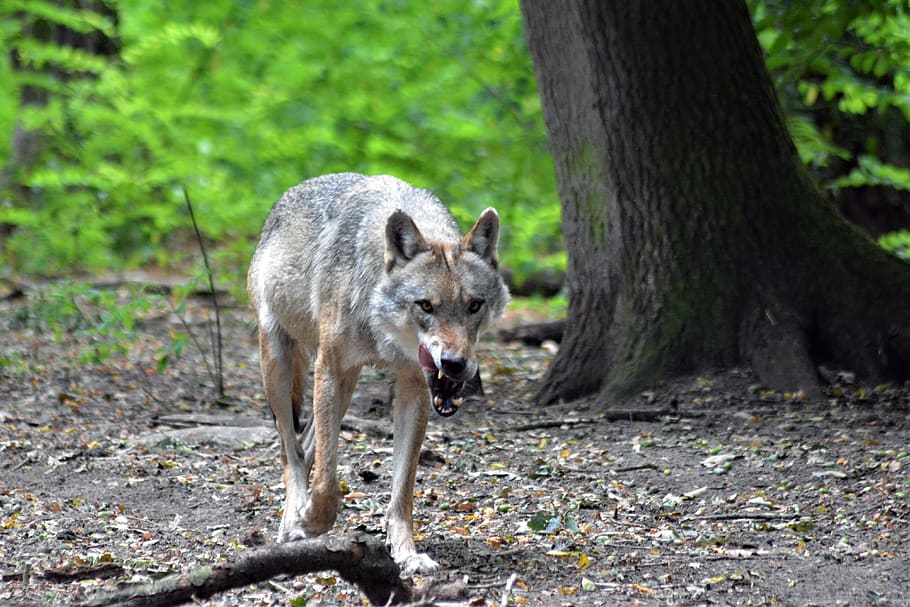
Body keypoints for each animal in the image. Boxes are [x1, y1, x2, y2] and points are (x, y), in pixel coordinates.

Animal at [247, 173, 509, 574]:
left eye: (474, 305)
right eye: (425, 306)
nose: (454, 363)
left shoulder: (414, 387)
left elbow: (402, 490)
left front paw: (406, 553)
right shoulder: (329, 368)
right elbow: (328, 483)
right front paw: (309, 522)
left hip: (346, 386)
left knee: (306, 444)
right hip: (280, 364)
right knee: (289, 451)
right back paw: (292, 519)